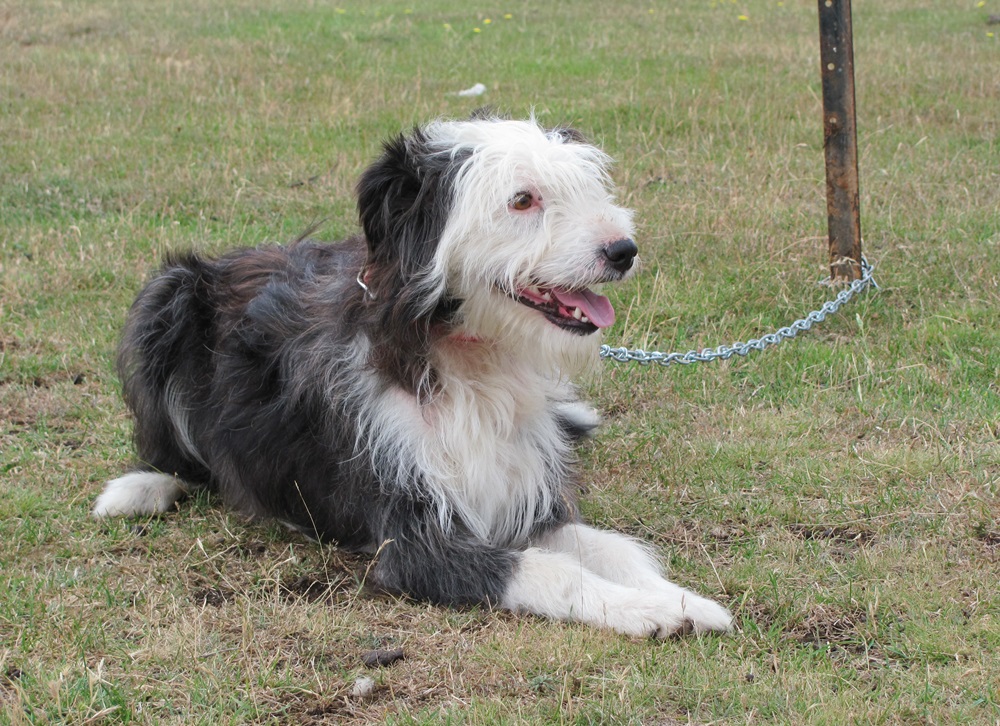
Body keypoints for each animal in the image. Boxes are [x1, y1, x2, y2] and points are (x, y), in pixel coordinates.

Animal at [94, 115, 732, 636]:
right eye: (522, 200)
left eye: (585, 187)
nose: (622, 250)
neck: (464, 356)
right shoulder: (410, 543)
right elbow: (553, 573)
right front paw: (646, 611)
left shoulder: (520, 498)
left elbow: (618, 551)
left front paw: (681, 601)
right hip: (167, 297)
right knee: (176, 453)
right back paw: (144, 486)